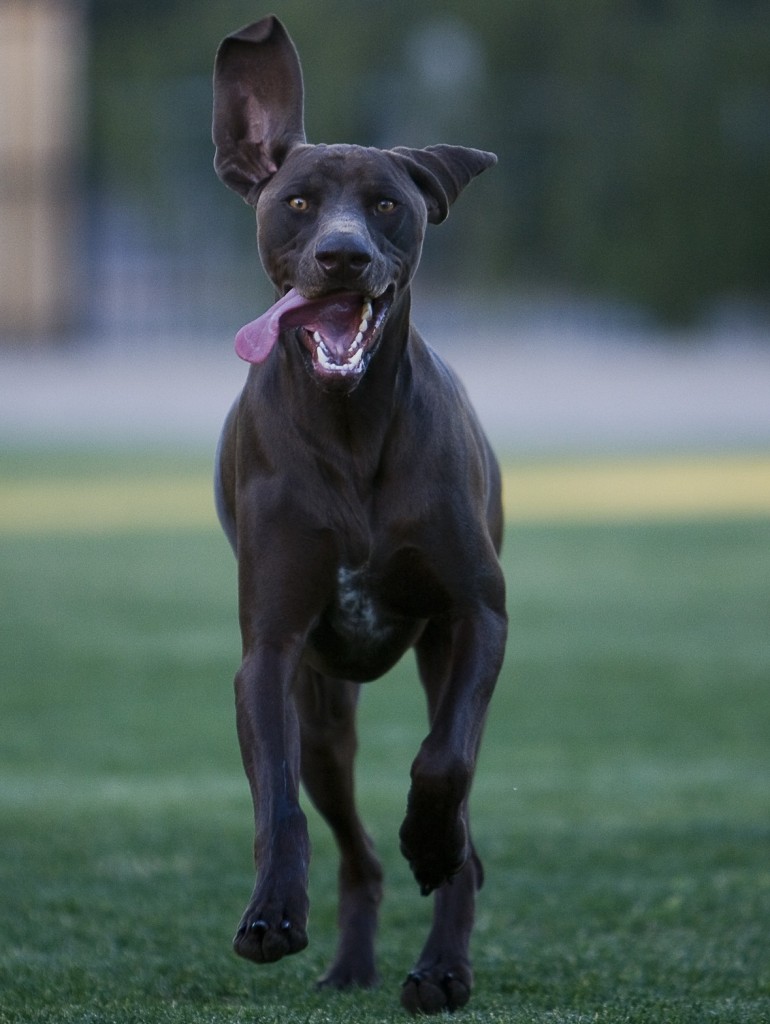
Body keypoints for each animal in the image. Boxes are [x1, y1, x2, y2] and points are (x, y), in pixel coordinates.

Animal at [214, 16, 507, 1015]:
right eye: (300, 203)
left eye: (386, 205)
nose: (343, 255)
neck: (350, 432)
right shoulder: (269, 654)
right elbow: (276, 803)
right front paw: (271, 914)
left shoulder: (477, 617)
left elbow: (442, 763)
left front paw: (433, 840)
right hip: (324, 715)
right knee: (350, 842)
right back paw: (351, 960)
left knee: (458, 830)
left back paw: (443, 962)